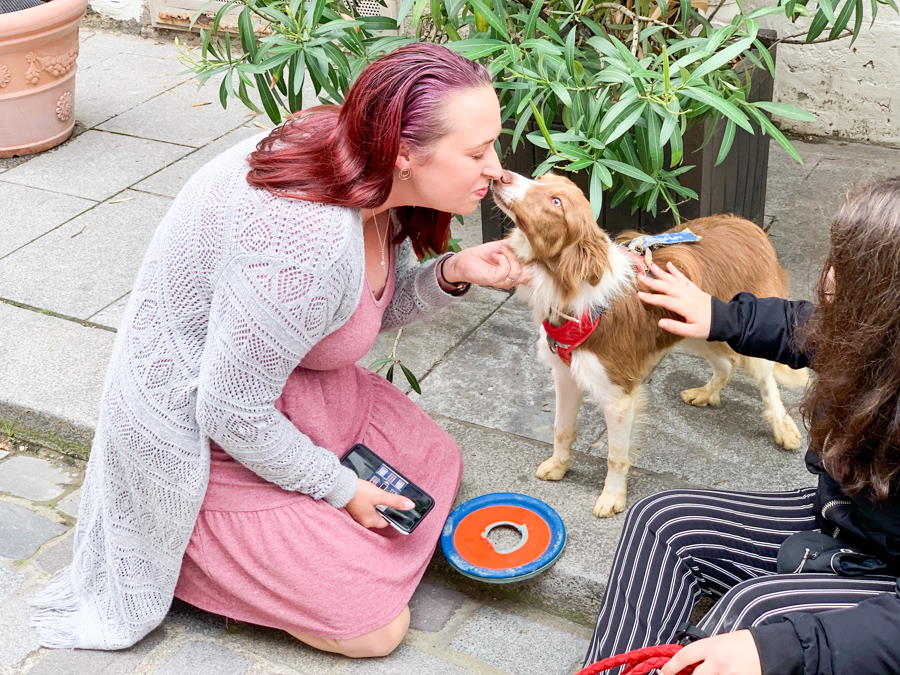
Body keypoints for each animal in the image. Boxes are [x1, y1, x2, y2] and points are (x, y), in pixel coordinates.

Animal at [496, 173, 804, 516]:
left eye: (556, 201)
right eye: (541, 179)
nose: (502, 175)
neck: (568, 283)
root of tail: (748, 226)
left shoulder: (618, 394)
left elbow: (616, 454)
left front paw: (613, 497)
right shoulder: (566, 376)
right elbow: (561, 428)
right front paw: (558, 466)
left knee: (766, 382)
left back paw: (783, 429)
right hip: (694, 328)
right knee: (727, 363)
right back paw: (705, 393)